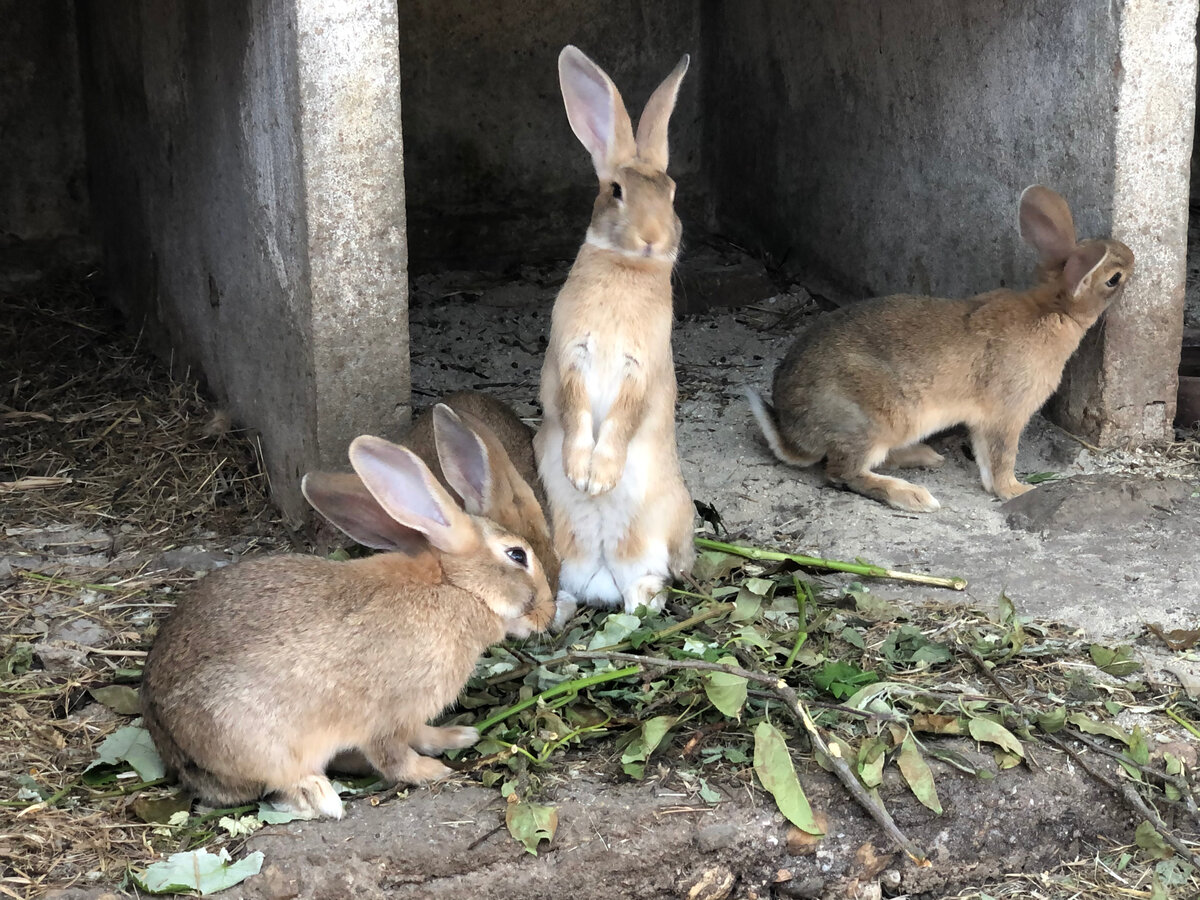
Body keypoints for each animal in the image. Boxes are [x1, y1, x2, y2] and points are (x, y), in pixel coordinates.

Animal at [535, 47, 696, 628]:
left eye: (672, 193)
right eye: (616, 191)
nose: (652, 238)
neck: (627, 268)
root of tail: (603, 575)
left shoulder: (639, 368)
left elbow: (622, 418)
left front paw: (599, 479)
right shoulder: (572, 357)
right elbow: (577, 408)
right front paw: (581, 474)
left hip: (656, 533)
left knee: (645, 588)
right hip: (559, 545)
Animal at [748, 184, 1132, 513]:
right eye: (1114, 278)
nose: (1131, 257)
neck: (1052, 309)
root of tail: (793, 432)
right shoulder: (1007, 414)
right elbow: (1000, 459)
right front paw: (1018, 490)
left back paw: (925, 457)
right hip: (873, 421)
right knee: (845, 472)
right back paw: (913, 496)